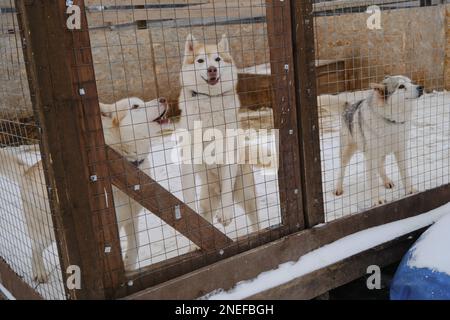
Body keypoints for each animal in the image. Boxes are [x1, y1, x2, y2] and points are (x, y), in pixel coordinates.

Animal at [0, 96, 169, 282]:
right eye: (136, 106)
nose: (163, 99)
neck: (123, 166)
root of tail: (27, 171)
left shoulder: (131, 218)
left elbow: (135, 244)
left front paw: (129, 267)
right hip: (48, 231)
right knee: (34, 248)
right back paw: (39, 272)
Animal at [177, 34, 258, 230]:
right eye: (200, 60)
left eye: (218, 59)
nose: (212, 69)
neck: (210, 101)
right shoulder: (188, 161)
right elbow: (188, 195)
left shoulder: (228, 156)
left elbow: (227, 190)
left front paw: (226, 214)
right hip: (208, 200)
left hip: (246, 193)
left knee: (255, 220)